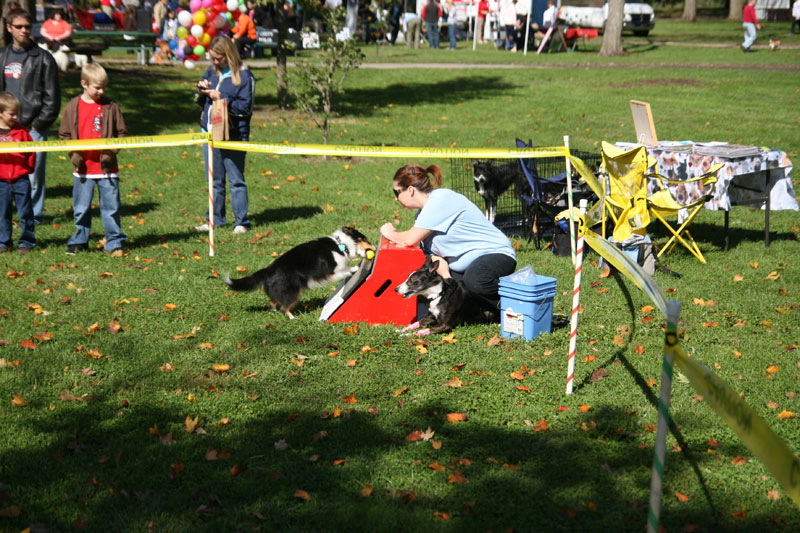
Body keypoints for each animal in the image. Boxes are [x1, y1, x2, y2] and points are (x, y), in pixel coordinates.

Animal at [225, 225, 376, 318]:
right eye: (365, 239)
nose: (374, 247)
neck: (342, 244)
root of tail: (267, 270)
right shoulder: (332, 271)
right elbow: (345, 269)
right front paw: (355, 268)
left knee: (273, 302)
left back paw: (274, 311)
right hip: (294, 290)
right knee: (284, 307)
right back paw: (293, 317)